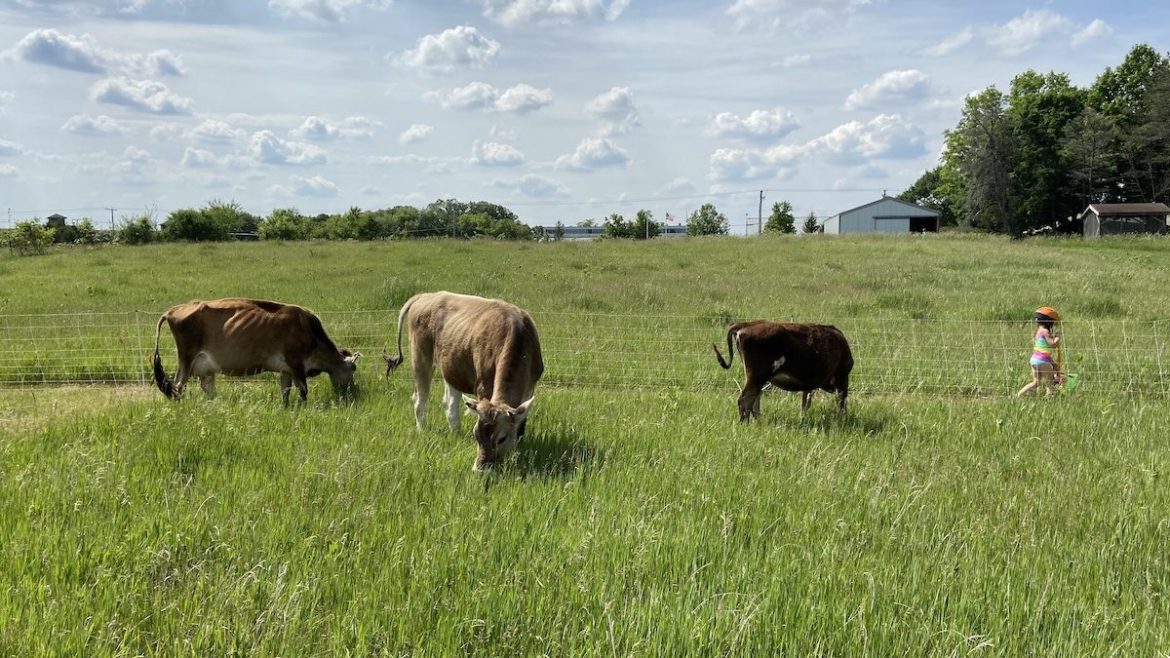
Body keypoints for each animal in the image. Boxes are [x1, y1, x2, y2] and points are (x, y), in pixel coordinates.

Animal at [153, 296, 358, 400]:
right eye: (353, 369)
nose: (352, 392)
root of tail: (172, 311)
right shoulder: (296, 364)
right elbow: (303, 391)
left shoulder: (286, 370)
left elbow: (285, 391)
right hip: (187, 359)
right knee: (178, 387)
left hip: (200, 367)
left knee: (202, 388)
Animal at [386, 289, 545, 468]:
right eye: (476, 435)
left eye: (502, 438)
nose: (480, 469)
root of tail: (426, 295)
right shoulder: (483, 387)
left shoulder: (530, 387)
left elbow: (521, 423)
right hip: (421, 359)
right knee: (420, 402)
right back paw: (422, 430)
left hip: (451, 366)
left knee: (449, 405)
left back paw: (455, 432)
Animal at [711, 318, 851, 419]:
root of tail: (747, 324)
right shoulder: (842, 376)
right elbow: (841, 403)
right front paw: (842, 421)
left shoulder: (808, 384)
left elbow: (805, 403)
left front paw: (803, 418)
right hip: (757, 376)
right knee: (745, 401)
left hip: (755, 378)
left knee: (754, 402)